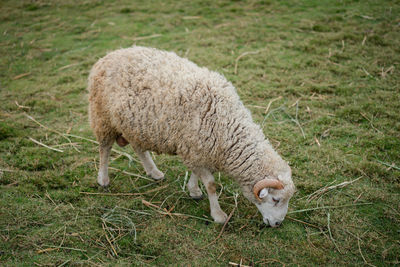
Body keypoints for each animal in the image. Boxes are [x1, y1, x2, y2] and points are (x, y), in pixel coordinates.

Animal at [86, 46, 294, 228]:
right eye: (275, 199)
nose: (277, 224)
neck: (226, 123)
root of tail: (108, 55)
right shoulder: (195, 148)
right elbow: (211, 185)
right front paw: (218, 215)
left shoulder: (197, 149)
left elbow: (196, 173)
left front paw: (193, 190)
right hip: (102, 117)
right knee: (104, 148)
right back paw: (103, 179)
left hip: (135, 124)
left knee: (138, 147)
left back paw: (154, 172)